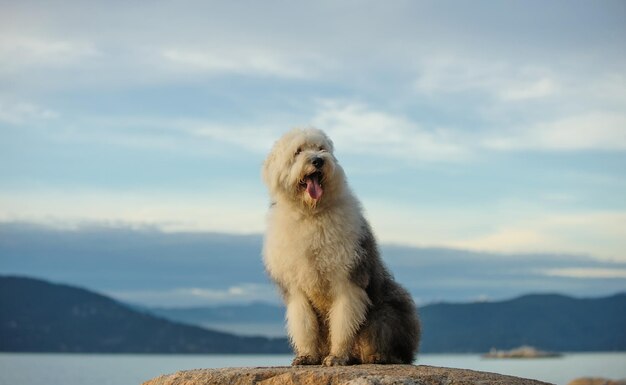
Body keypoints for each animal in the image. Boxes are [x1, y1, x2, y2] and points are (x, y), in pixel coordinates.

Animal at [258, 127, 420, 364]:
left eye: (321, 148)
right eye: (298, 151)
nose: (318, 161)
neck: (311, 213)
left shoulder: (347, 279)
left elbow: (343, 323)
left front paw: (336, 357)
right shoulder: (296, 289)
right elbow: (304, 325)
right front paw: (306, 357)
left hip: (387, 310)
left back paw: (379, 356)